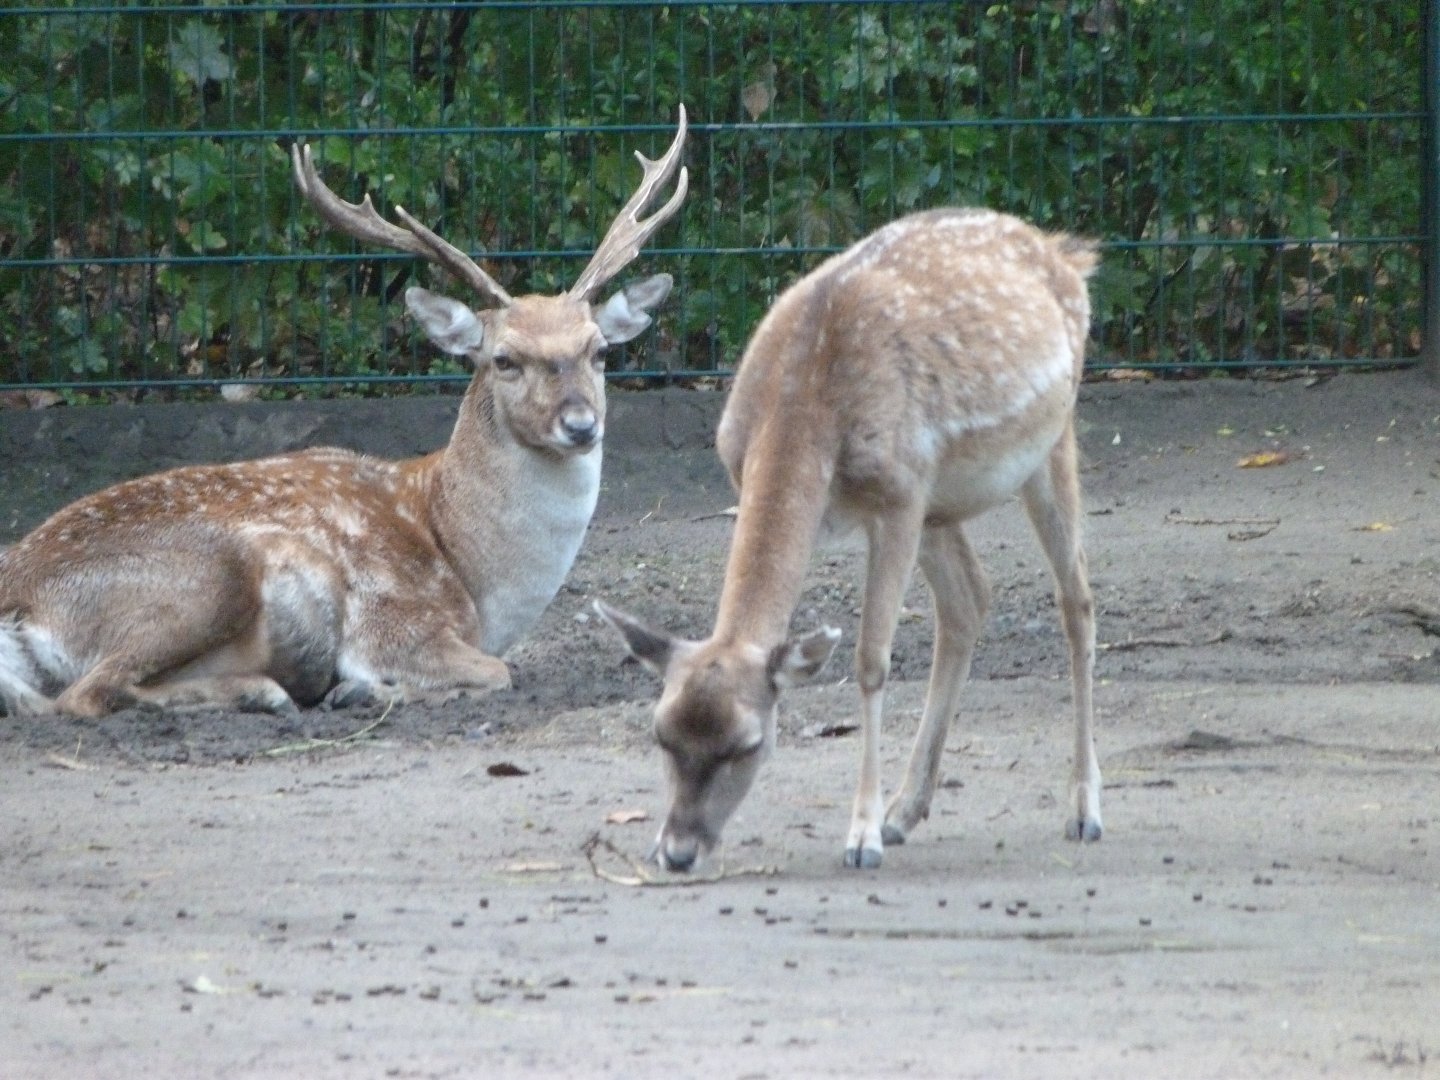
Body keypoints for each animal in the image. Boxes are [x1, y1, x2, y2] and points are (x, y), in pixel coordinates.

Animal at [0, 108, 688, 719]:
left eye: (599, 350)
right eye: (504, 358)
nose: (581, 424)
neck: (471, 571)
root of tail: (18, 605)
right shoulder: (395, 620)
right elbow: (498, 672)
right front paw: (363, 689)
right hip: (202, 579)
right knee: (83, 695)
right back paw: (268, 692)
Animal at [598, 207, 1102, 872]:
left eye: (748, 744)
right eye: (660, 734)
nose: (678, 852)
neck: (803, 400)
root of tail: (1069, 254)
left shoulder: (897, 498)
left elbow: (870, 661)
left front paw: (860, 837)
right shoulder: (872, 494)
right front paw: (877, 823)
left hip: (1050, 438)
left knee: (1077, 601)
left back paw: (1084, 809)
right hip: (939, 501)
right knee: (969, 600)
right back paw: (906, 811)